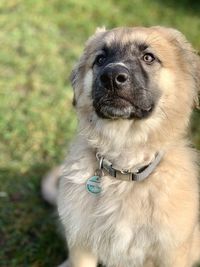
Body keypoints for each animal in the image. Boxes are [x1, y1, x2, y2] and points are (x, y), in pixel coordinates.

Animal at [43, 25, 200, 267]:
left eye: (148, 57)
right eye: (100, 59)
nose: (111, 78)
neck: (125, 171)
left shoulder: (173, 253)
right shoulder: (82, 244)